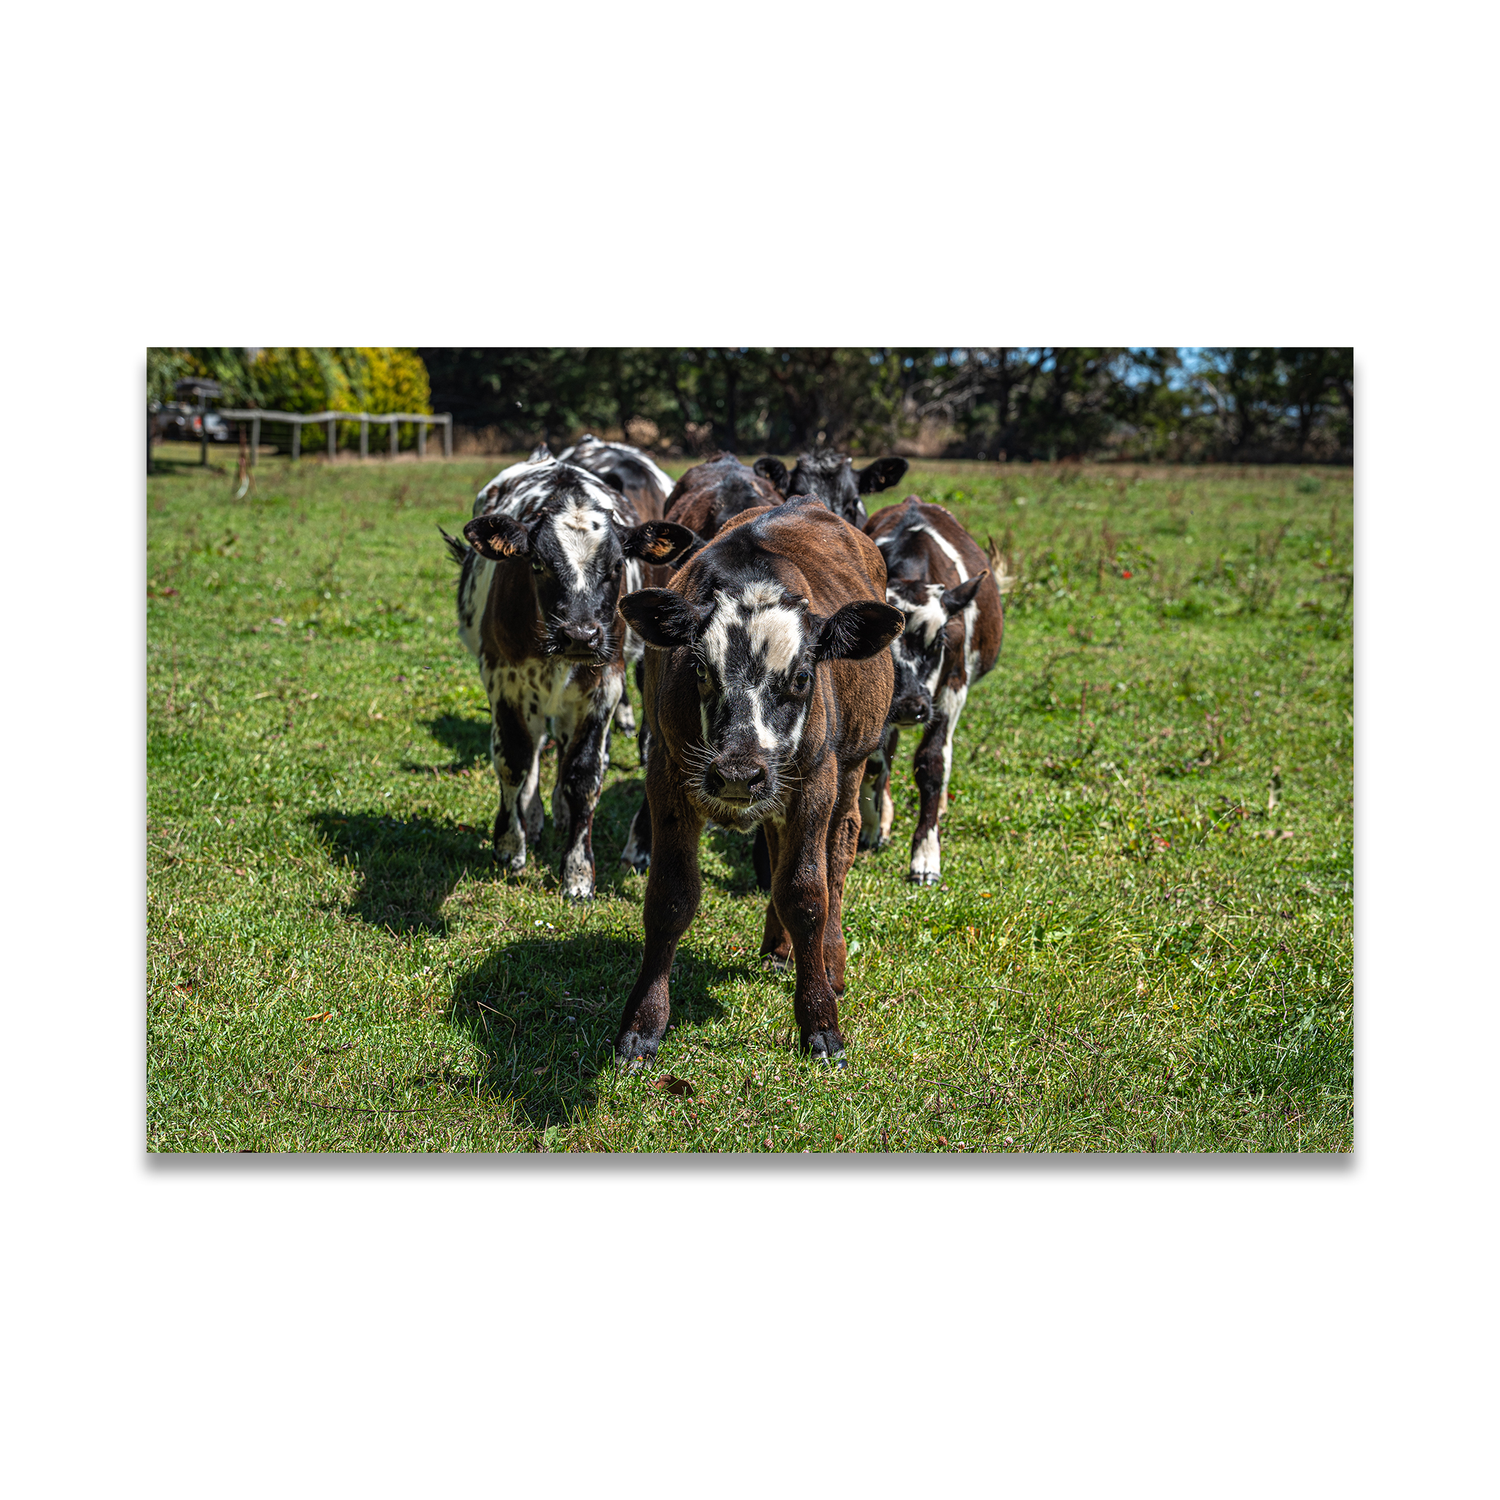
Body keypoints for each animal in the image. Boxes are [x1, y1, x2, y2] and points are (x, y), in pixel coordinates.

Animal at [444, 456, 696, 894]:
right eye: (538, 564)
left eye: (617, 566)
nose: (579, 634)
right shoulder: (504, 681)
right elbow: (514, 760)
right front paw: (509, 844)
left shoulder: (603, 687)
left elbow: (584, 775)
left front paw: (578, 870)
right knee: (537, 746)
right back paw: (535, 816)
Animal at [612, 498, 894, 1062]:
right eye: (700, 669)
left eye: (803, 677)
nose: (738, 773)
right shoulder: (668, 774)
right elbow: (670, 896)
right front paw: (644, 1021)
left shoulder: (814, 781)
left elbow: (806, 894)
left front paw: (819, 1021)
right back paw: (779, 947)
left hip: (850, 766)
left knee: (838, 853)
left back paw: (830, 961)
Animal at [864, 498, 1002, 882]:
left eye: (939, 641)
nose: (910, 707)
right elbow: (876, 761)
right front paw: (872, 824)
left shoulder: (952, 689)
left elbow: (932, 763)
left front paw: (925, 855)